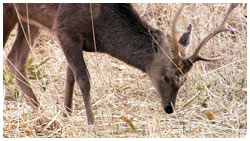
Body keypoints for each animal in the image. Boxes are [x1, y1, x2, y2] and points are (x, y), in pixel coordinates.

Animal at [3, 3, 238, 124]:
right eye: (166, 77)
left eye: (185, 80)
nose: (169, 108)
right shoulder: (65, 28)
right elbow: (83, 78)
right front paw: (91, 122)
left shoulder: (71, 37)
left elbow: (70, 76)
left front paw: (66, 114)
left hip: (27, 17)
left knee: (15, 59)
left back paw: (37, 108)